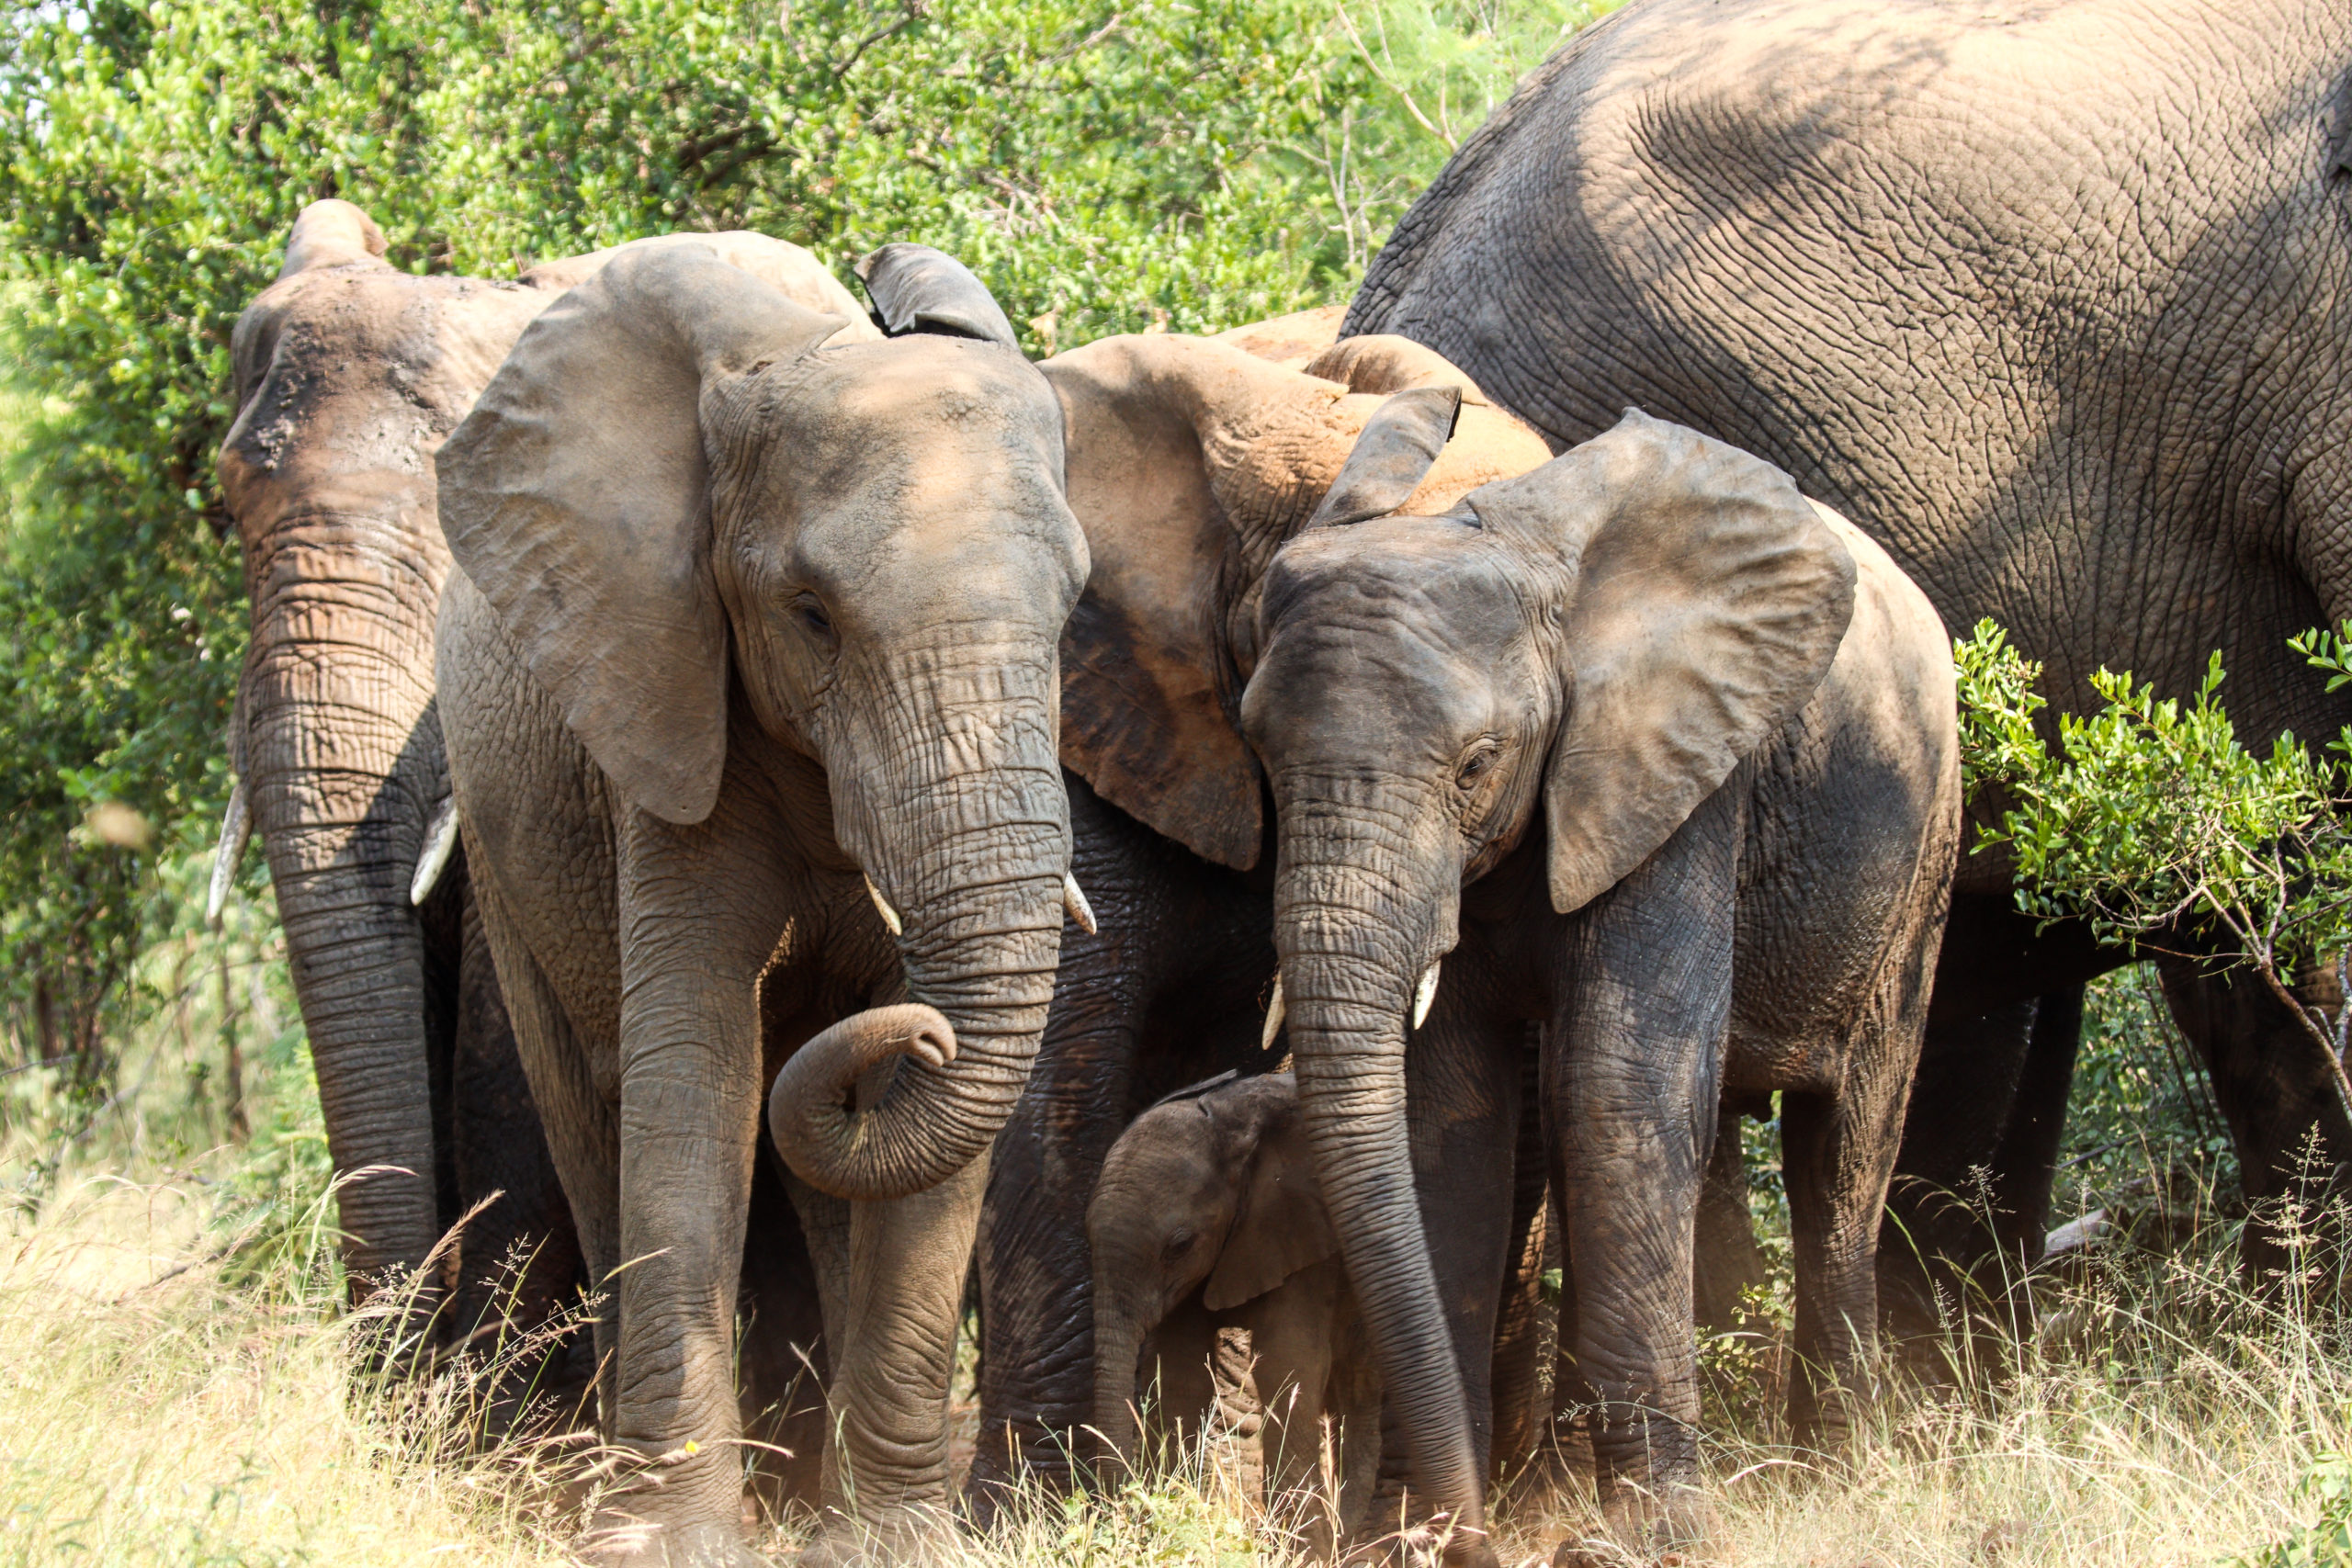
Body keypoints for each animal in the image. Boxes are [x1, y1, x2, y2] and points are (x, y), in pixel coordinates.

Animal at [439, 240, 1081, 1561]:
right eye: (812, 616)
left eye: (1073, 610)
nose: (920, 1032)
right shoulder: (667, 702)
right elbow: (697, 1066)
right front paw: (666, 1543)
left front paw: (892, 1541)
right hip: (498, 833)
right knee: (593, 1107)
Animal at [1091, 1066, 1383, 1561]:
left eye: (1180, 1245)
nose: (1127, 1509)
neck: (1233, 1121)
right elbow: (1179, 1371)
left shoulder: (1303, 1238)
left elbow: (1288, 1363)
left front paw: (1301, 1555)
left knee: (1358, 1384)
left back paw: (1351, 1542)